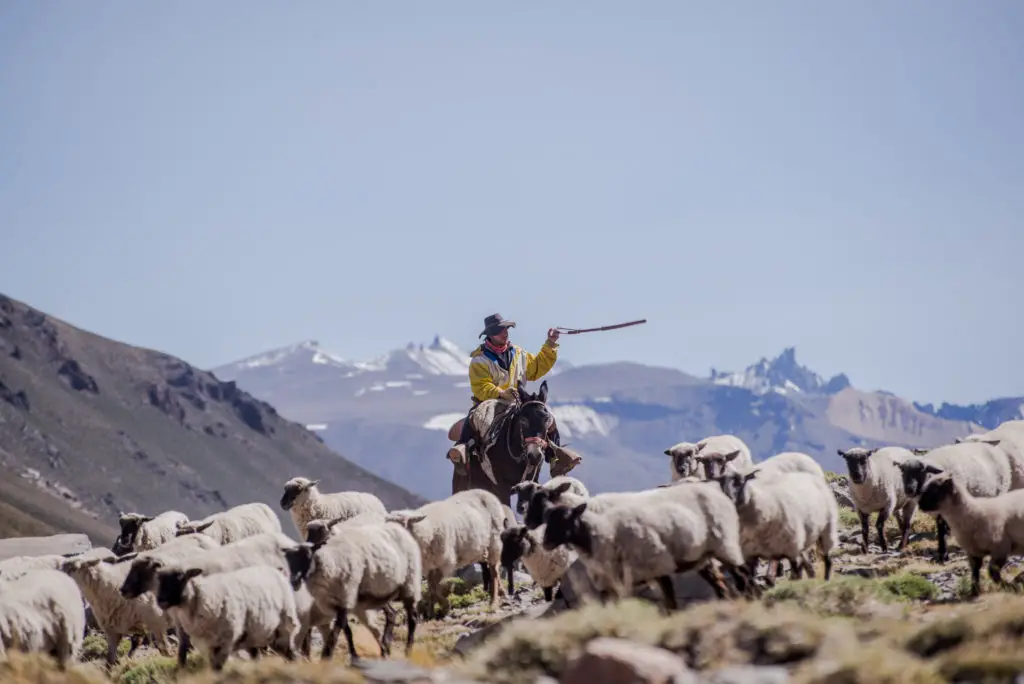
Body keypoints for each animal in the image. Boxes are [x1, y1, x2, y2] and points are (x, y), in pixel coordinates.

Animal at [153, 565, 299, 671]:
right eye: (159, 579)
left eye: (179, 576)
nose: (160, 600)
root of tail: (275, 570)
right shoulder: (206, 644)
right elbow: (213, 667)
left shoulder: (225, 640)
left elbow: (218, 667)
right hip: (254, 634)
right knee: (259, 656)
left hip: (284, 626)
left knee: (291, 653)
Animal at [282, 520, 421, 659]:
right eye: (288, 561)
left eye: (307, 556)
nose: (293, 581)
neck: (332, 561)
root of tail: (400, 528)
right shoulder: (335, 603)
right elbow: (346, 630)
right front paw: (353, 654)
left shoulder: (346, 598)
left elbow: (336, 632)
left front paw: (327, 656)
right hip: (379, 594)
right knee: (391, 614)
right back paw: (385, 648)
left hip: (410, 584)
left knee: (412, 618)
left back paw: (408, 651)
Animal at [385, 489, 507, 618]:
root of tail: (486, 492)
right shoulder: (428, 566)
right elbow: (431, 588)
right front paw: (431, 612)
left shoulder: (445, 563)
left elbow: (434, 588)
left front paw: (445, 606)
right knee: (494, 569)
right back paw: (502, 592)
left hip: (495, 542)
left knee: (494, 571)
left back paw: (494, 602)